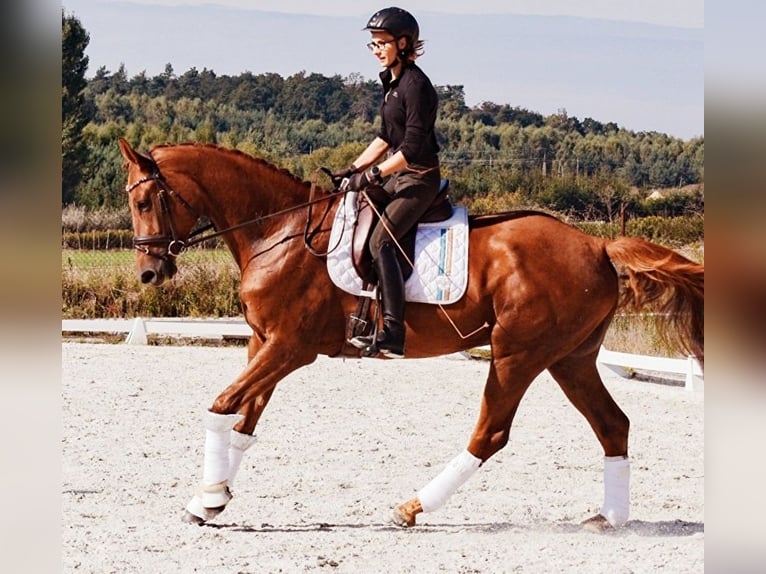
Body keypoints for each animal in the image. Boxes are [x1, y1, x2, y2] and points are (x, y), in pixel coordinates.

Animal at [117, 137, 704, 532]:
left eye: (144, 202)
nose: (148, 273)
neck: (276, 232)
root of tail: (598, 245)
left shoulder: (289, 348)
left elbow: (220, 407)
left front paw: (204, 498)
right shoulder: (265, 343)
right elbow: (245, 420)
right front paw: (214, 497)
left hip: (518, 355)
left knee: (491, 433)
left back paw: (411, 507)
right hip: (571, 359)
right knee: (613, 425)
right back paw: (610, 518)